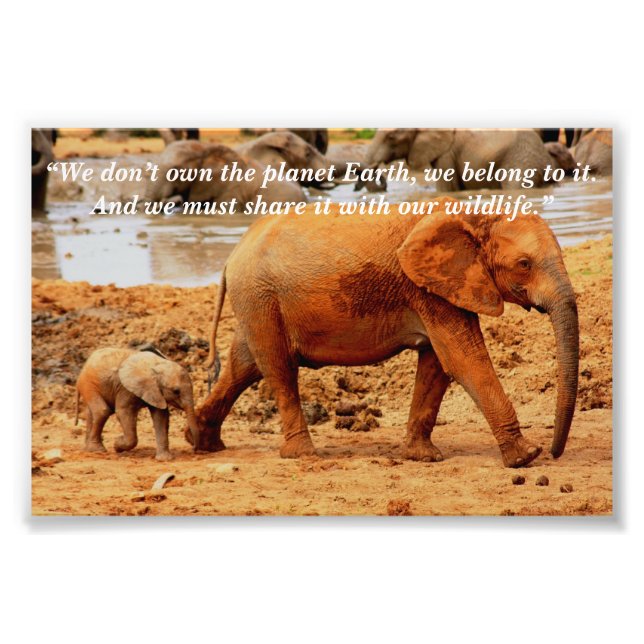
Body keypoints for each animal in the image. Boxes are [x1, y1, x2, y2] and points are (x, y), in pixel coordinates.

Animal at [190, 196, 579, 468]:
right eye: (524, 264)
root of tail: (232, 255)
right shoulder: (427, 288)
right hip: (261, 297)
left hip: (257, 300)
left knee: (244, 364)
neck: (476, 213)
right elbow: (464, 360)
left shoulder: (438, 288)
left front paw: (423, 457)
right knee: (278, 367)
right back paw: (302, 454)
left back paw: (199, 439)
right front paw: (526, 458)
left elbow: (437, 365)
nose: (555, 453)